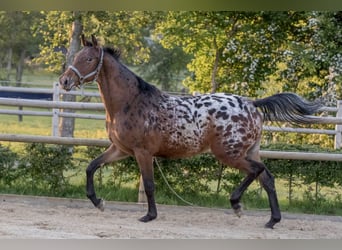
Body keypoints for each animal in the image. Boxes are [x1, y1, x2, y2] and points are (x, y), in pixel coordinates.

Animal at [57, 34, 322, 229]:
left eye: (89, 59)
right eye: (78, 56)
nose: (64, 81)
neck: (130, 102)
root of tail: (252, 104)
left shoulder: (143, 153)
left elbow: (149, 185)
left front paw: (149, 216)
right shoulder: (120, 149)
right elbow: (91, 167)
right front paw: (98, 202)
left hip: (229, 154)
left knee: (257, 171)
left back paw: (237, 204)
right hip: (248, 151)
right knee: (267, 178)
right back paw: (271, 220)